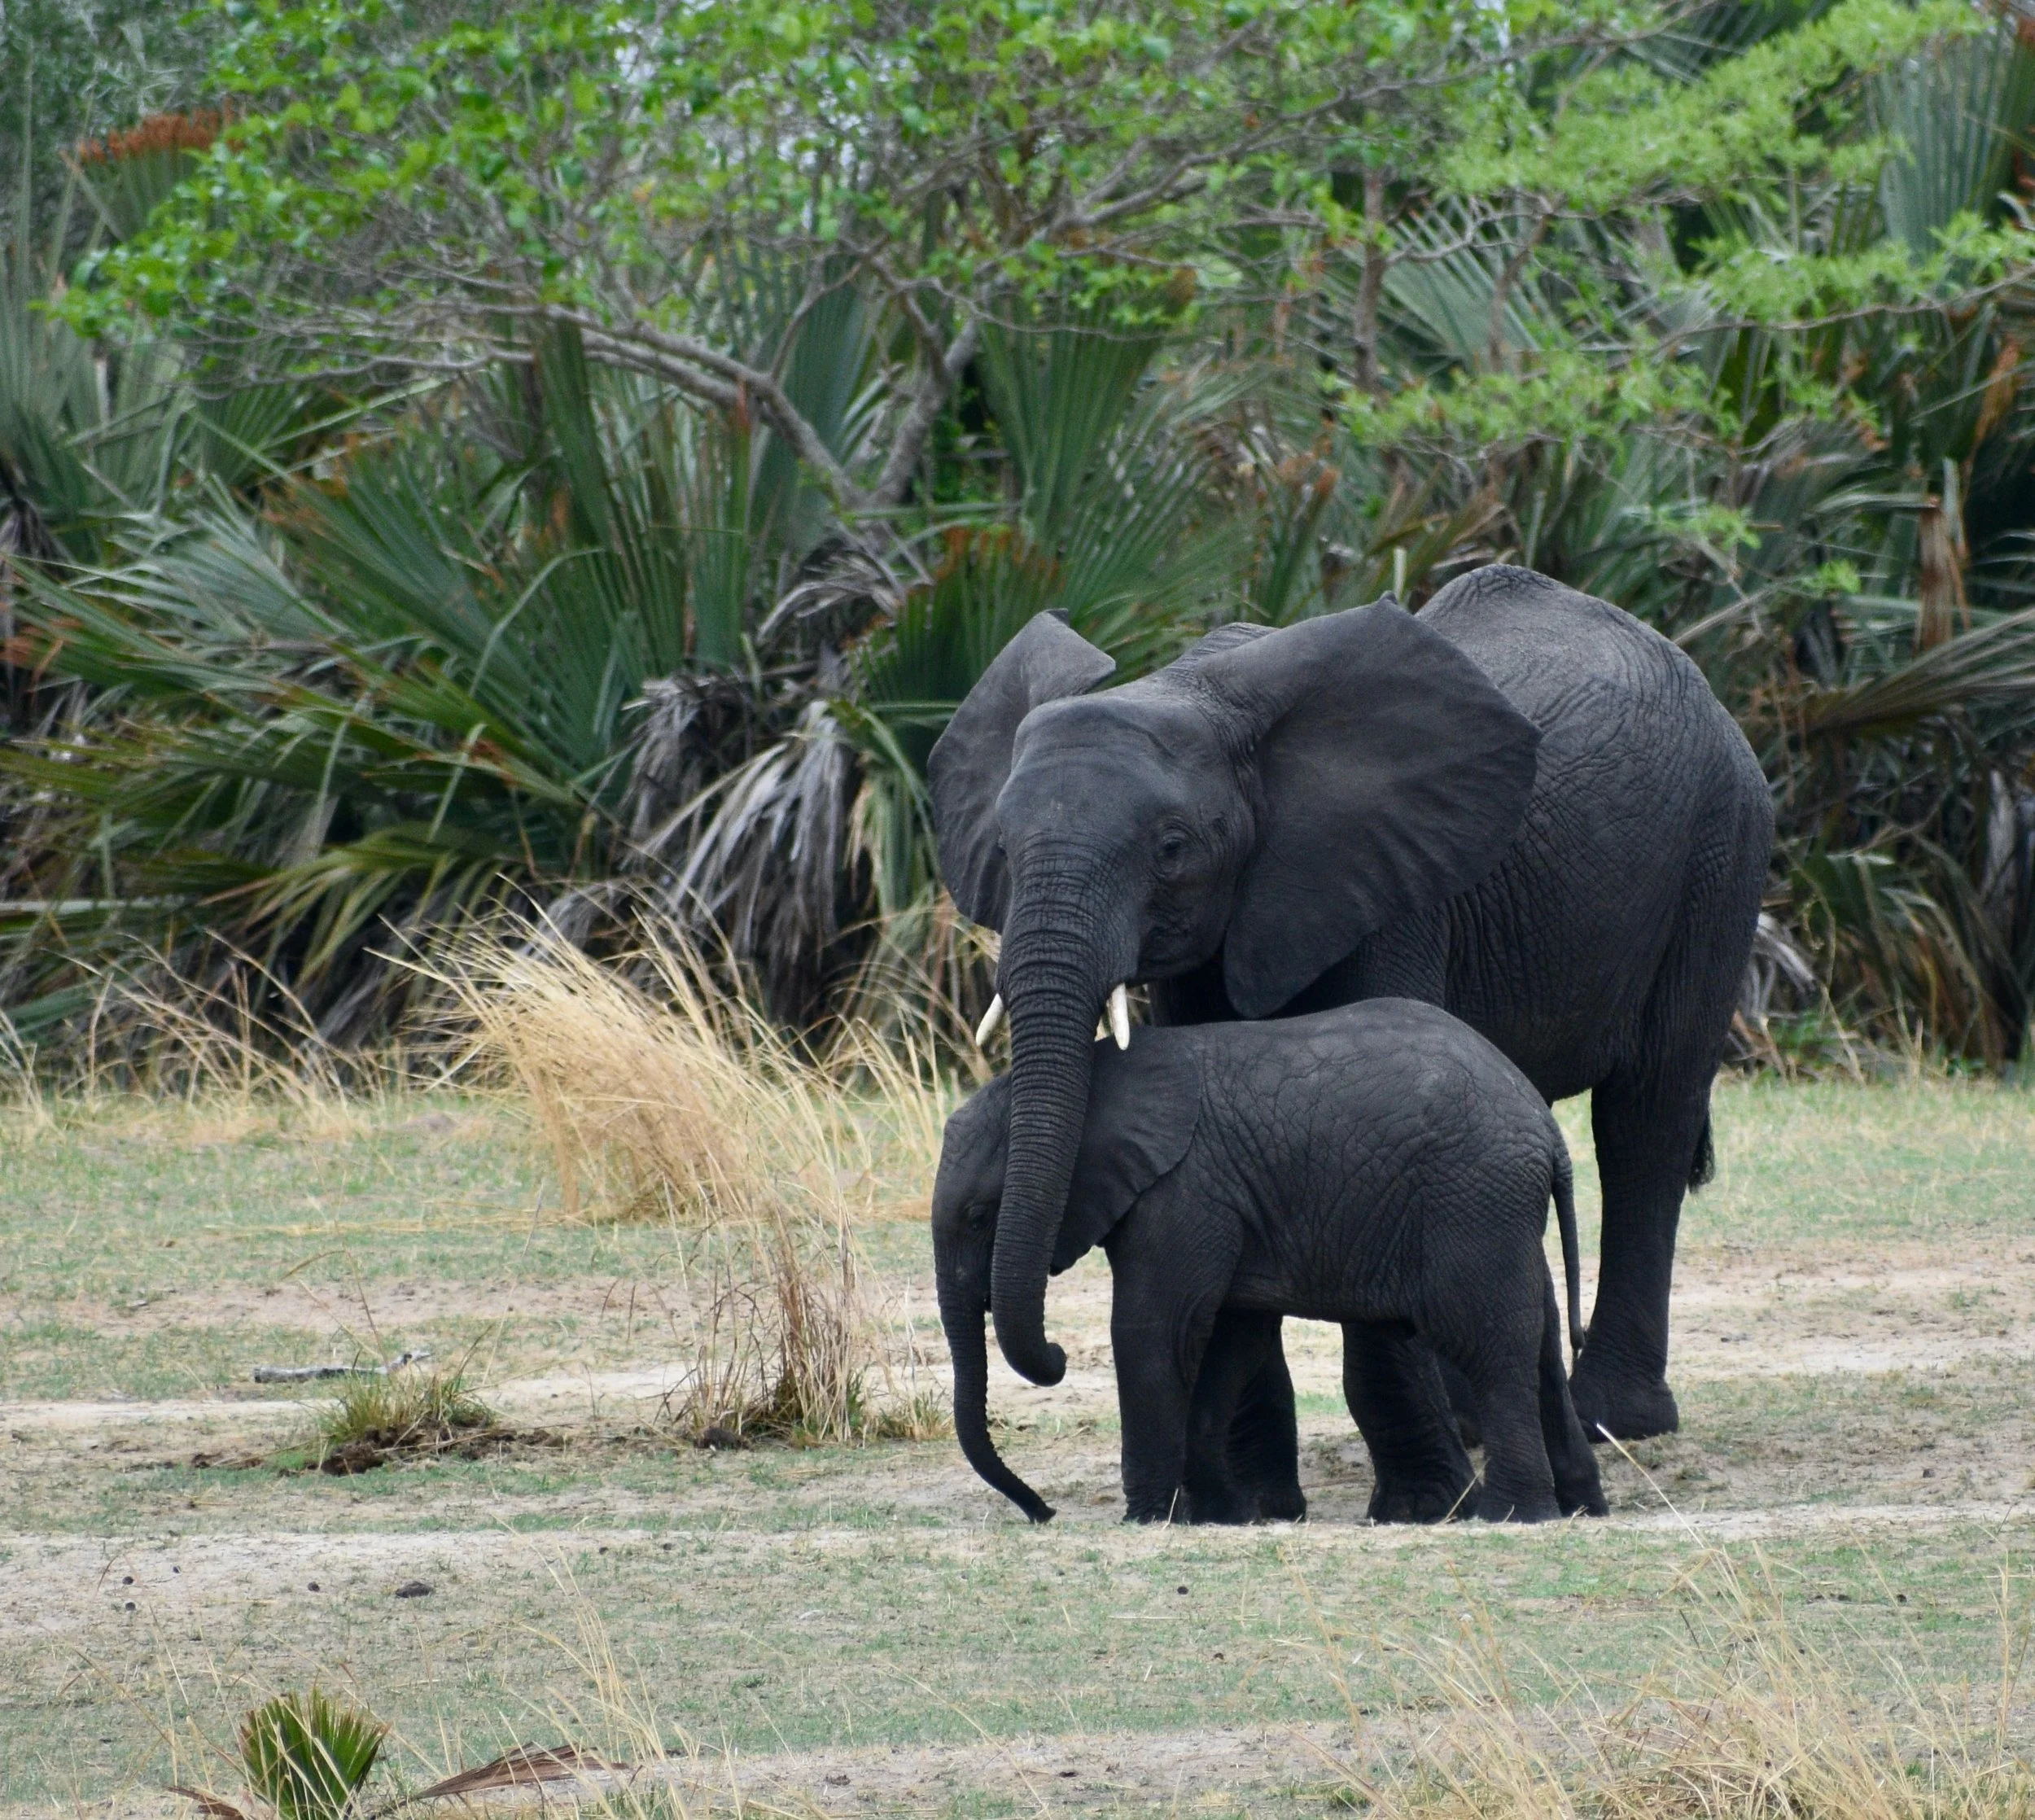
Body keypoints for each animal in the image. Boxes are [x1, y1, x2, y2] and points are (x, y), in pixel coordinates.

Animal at [933, 997, 1610, 1525]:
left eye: (979, 1215)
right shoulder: (1222, 1203)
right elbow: (1231, 1339)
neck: (1090, 1086)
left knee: (1488, 1344)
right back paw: (1580, 1507)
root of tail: (1549, 1134)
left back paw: (1513, 1515)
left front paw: (1148, 1518)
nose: (1042, 1512)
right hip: (1497, 1214)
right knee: (1541, 1343)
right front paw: (1223, 1517)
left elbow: (1154, 1333)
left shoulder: (1184, 1192)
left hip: (1471, 1202)